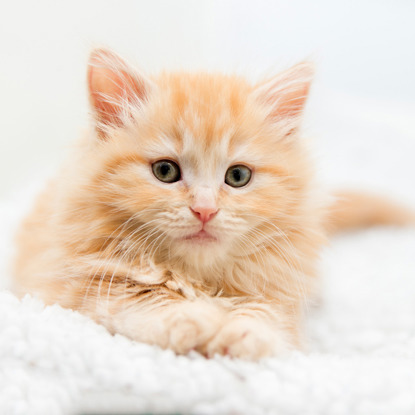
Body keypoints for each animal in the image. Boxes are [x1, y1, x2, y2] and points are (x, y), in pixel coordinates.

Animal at [13, 49, 412, 360]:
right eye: (165, 171)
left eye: (237, 176)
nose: (205, 209)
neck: (198, 276)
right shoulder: (74, 288)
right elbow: (141, 299)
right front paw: (192, 319)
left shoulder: (283, 297)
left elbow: (265, 315)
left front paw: (241, 334)